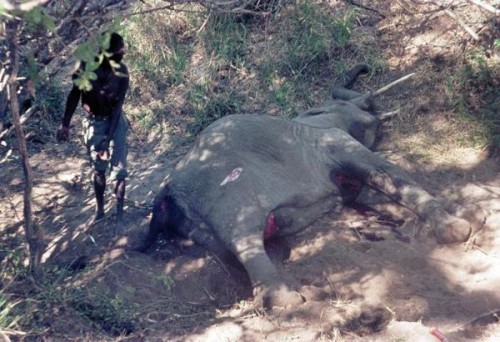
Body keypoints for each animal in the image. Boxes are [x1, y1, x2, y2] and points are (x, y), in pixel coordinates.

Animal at [136, 65, 480, 308]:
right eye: (365, 112)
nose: (368, 71)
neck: (310, 117)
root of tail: (167, 189)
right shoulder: (332, 141)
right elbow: (385, 171)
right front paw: (457, 230)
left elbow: (363, 193)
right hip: (227, 194)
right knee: (244, 240)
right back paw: (287, 302)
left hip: (196, 223)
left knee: (252, 249)